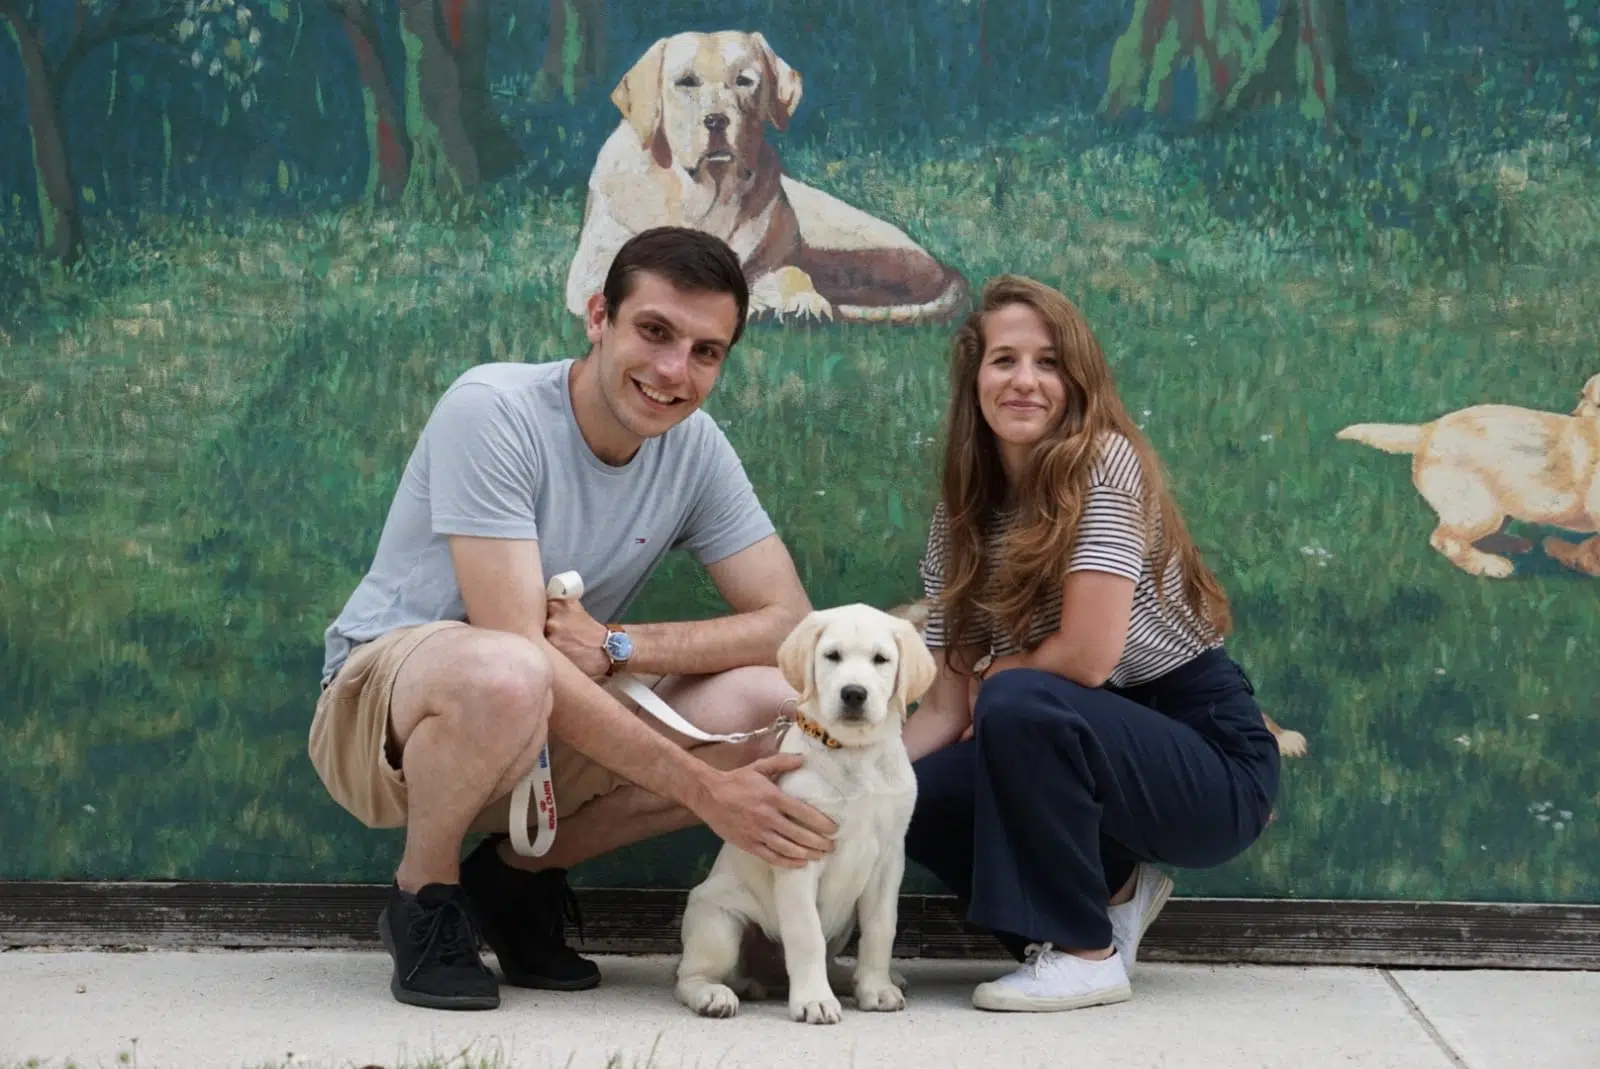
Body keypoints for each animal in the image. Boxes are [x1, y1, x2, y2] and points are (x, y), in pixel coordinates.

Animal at [566, 33, 960, 326]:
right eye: (686, 83)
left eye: (744, 81)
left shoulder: (774, 264)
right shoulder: (594, 273)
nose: (717, 120)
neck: (708, 194)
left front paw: (804, 302)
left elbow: (793, 274)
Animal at [672, 604, 934, 1024]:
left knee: (829, 961)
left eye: (881, 659)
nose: (853, 693)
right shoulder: (798, 853)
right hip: (718, 920)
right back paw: (713, 995)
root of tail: (766, 977)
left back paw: (851, 980)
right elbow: (805, 933)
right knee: (690, 975)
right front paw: (813, 1001)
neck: (853, 753)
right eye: (832, 656)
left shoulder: (890, 859)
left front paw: (876, 989)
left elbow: (881, 929)